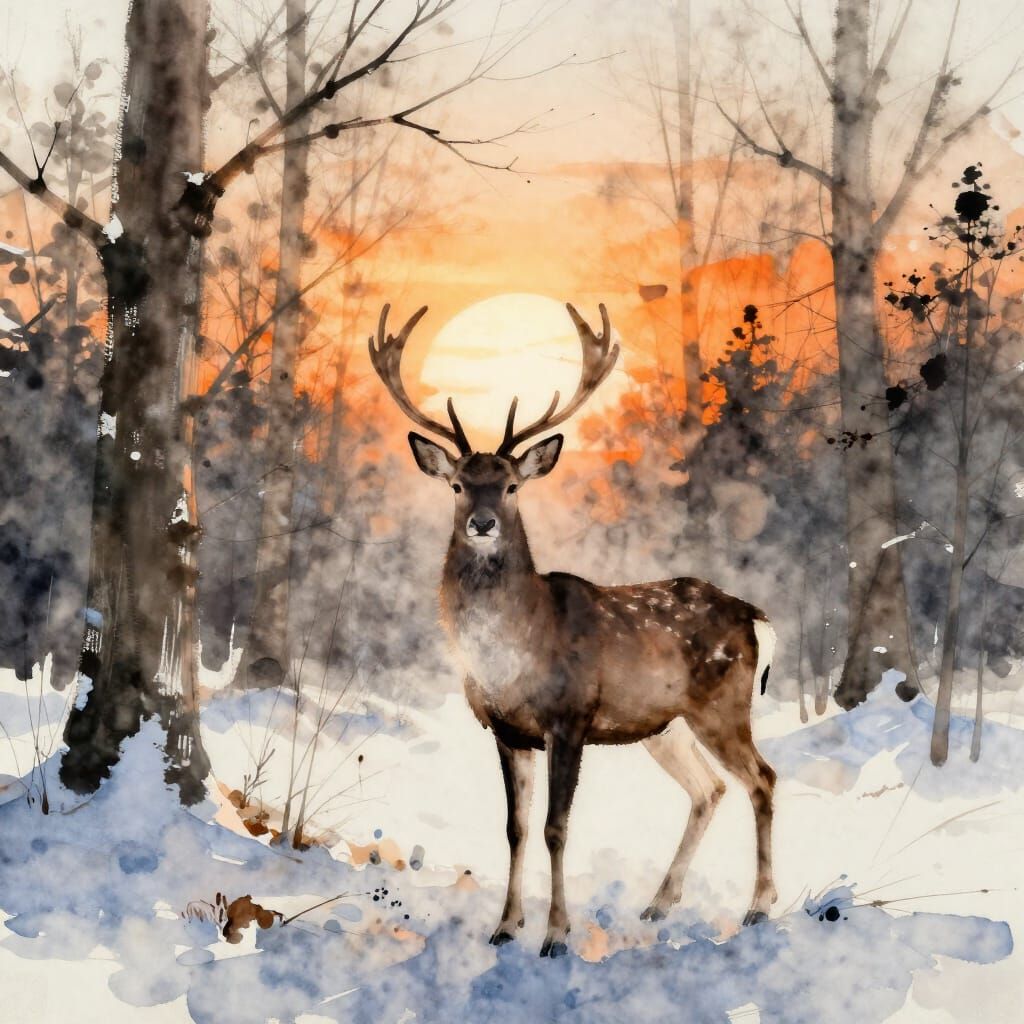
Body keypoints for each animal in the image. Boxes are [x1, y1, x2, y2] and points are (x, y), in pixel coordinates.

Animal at [368, 301, 778, 958]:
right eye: (457, 485)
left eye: (512, 485)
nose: (483, 523)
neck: (514, 654)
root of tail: (757, 617)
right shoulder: (508, 731)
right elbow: (515, 828)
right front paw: (505, 927)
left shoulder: (570, 718)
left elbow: (556, 828)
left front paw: (556, 935)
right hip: (665, 726)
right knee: (708, 789)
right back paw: (658, 905)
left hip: (724, 704)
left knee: (762, 779)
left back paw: (759, 908)